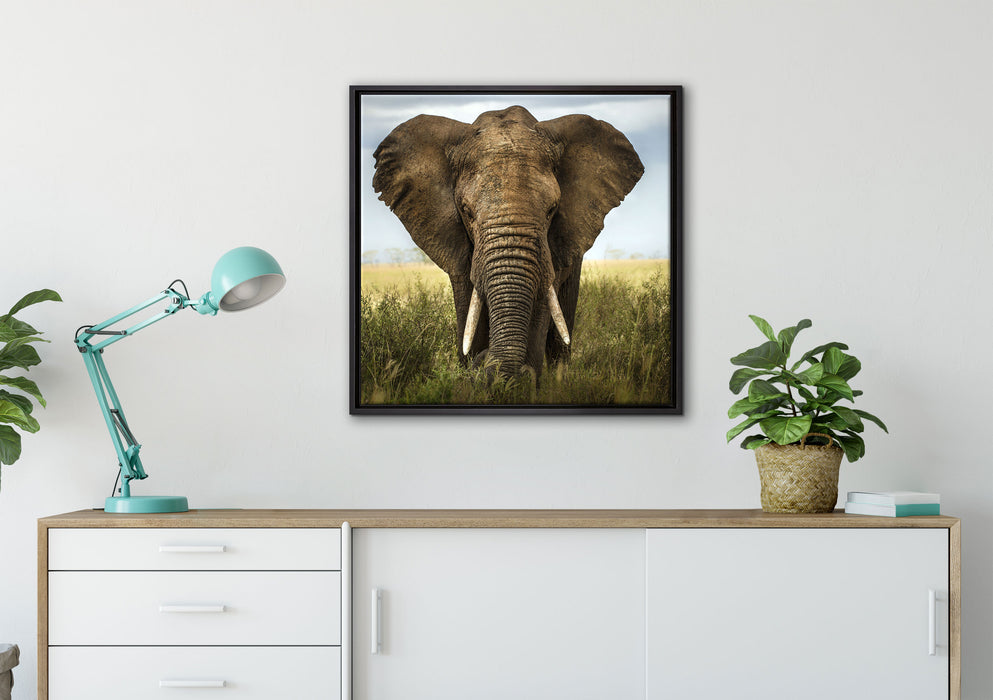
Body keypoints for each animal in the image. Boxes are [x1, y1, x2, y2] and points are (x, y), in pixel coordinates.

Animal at [372, 105, 644, 380]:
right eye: (466, 211)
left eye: (551, 210)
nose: (484, 361)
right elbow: (468, 307)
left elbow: (541, 304)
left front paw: (521, 380)